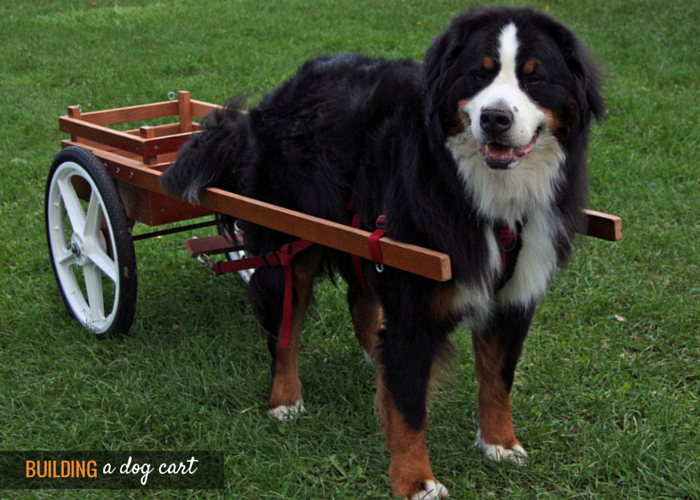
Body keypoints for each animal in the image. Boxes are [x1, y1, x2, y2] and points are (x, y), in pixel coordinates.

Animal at [161, 7, 604, 500]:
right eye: (478, 73)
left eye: (535, 77)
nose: (495, 118)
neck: (483, 195)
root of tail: (268, 102)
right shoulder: (414, 305)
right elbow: (410, 407)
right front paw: (416, 480)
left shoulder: (515, 296)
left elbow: (497, 378)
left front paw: (499, 444)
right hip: (288, 244)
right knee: (283, 327)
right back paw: (285, 399)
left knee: (359, 297)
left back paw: (375, 355)